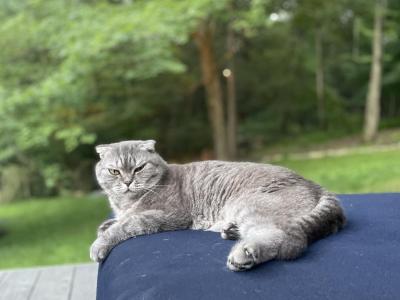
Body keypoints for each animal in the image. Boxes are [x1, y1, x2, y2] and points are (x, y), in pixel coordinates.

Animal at [89, 139, 346, 270]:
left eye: (139, 168)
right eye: (114, 171)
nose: (127, 181)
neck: (125, 201)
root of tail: (317, 186)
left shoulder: (170, 215)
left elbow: (128, 224)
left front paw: (100, 242)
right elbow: (117, 221)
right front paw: (107, 224)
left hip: (249, 206)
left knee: (283, 238)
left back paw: (245, 254)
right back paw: (231, 231)